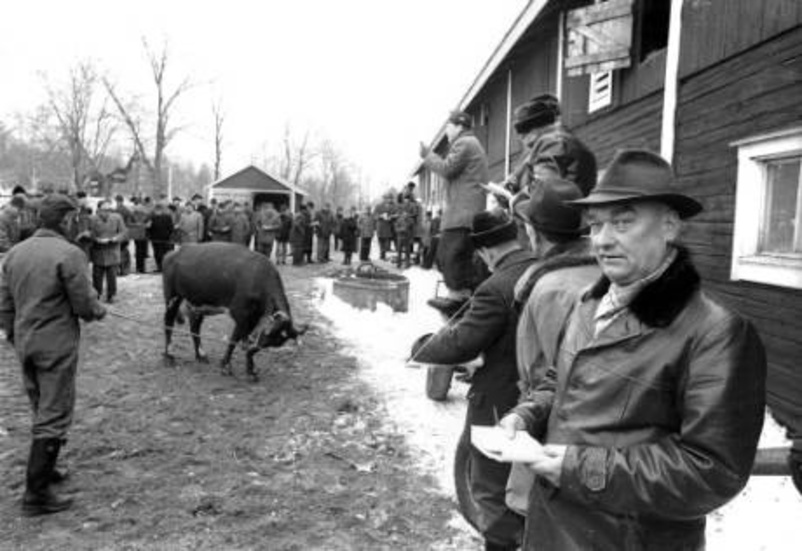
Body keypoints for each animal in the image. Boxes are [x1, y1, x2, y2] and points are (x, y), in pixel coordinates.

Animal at [160, 244, 306, 382]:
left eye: (275, 342)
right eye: (266, 333)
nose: (257, 342)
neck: (258, 276)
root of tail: (174, 252)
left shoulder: (253, 319)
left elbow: (245, 344)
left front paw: (250, 371)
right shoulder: (240, 316)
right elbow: (234, 341)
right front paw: (227, 366)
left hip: (197, 305)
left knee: (194, 328)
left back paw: (201, 355)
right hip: (172, 298)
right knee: (168, 324)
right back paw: (169, 356)